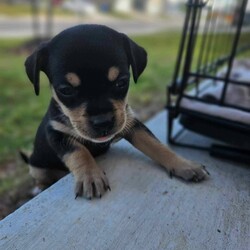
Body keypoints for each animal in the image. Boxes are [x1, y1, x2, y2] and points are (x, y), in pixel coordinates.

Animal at [22, 23, 209, 199]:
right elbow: (79, 151)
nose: (102, 122)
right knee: (41, 177)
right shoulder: (56, 134)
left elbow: (155, 144)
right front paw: (90, 176)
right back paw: (39, 187)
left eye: (121, 82)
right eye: (66, 90)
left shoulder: (131, 123)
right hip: (37, 167)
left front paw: (184, 164)